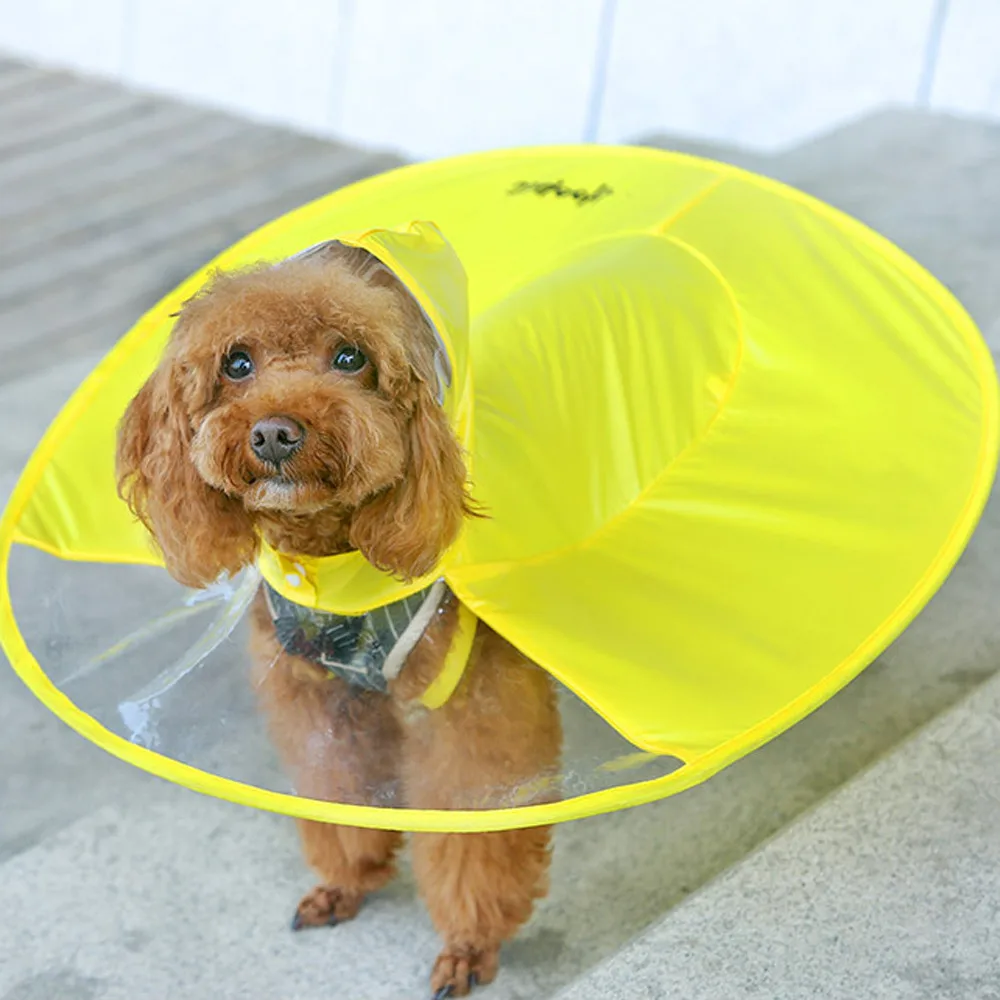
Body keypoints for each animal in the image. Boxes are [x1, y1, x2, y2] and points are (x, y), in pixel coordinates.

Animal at [117, 242, 564, 1000]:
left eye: (350, 357)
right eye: (237, 363)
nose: (274, 432)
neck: (333, 570)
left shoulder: (467, 702)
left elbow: (470, 827)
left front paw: (469, 941)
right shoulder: (318, 700)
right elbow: (339, 789)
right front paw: (346, 881)